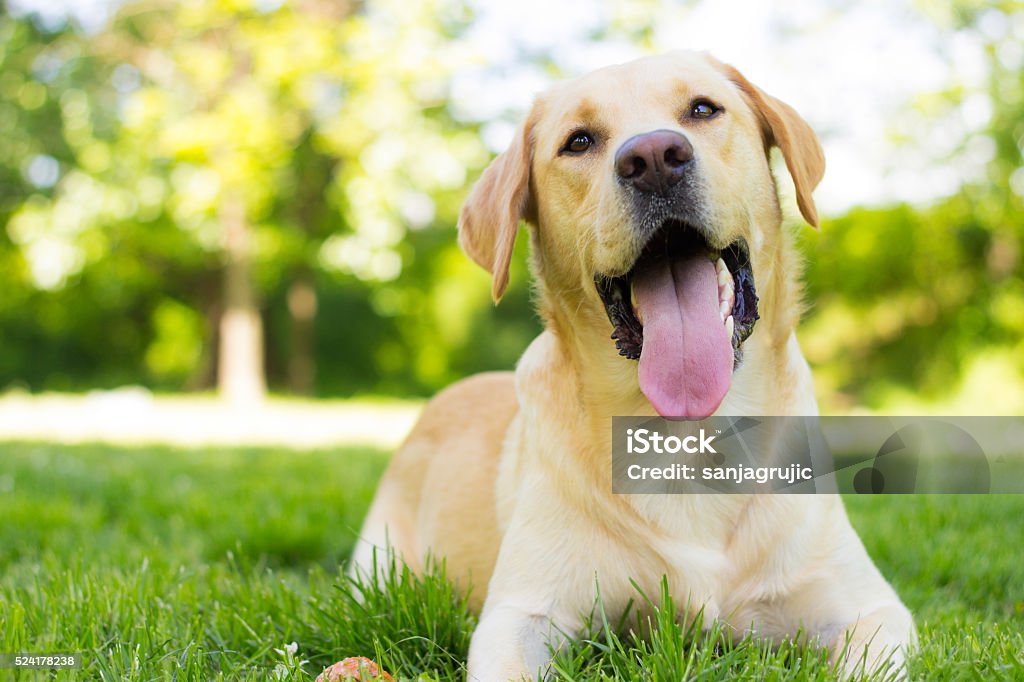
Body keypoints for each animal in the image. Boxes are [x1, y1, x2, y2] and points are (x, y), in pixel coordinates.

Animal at [350, 50, 913, 675]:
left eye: (703, 110)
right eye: (578, 141)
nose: (654, 159)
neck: (688, 438)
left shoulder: (872, 608)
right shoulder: (521, 613)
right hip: (376, 567)